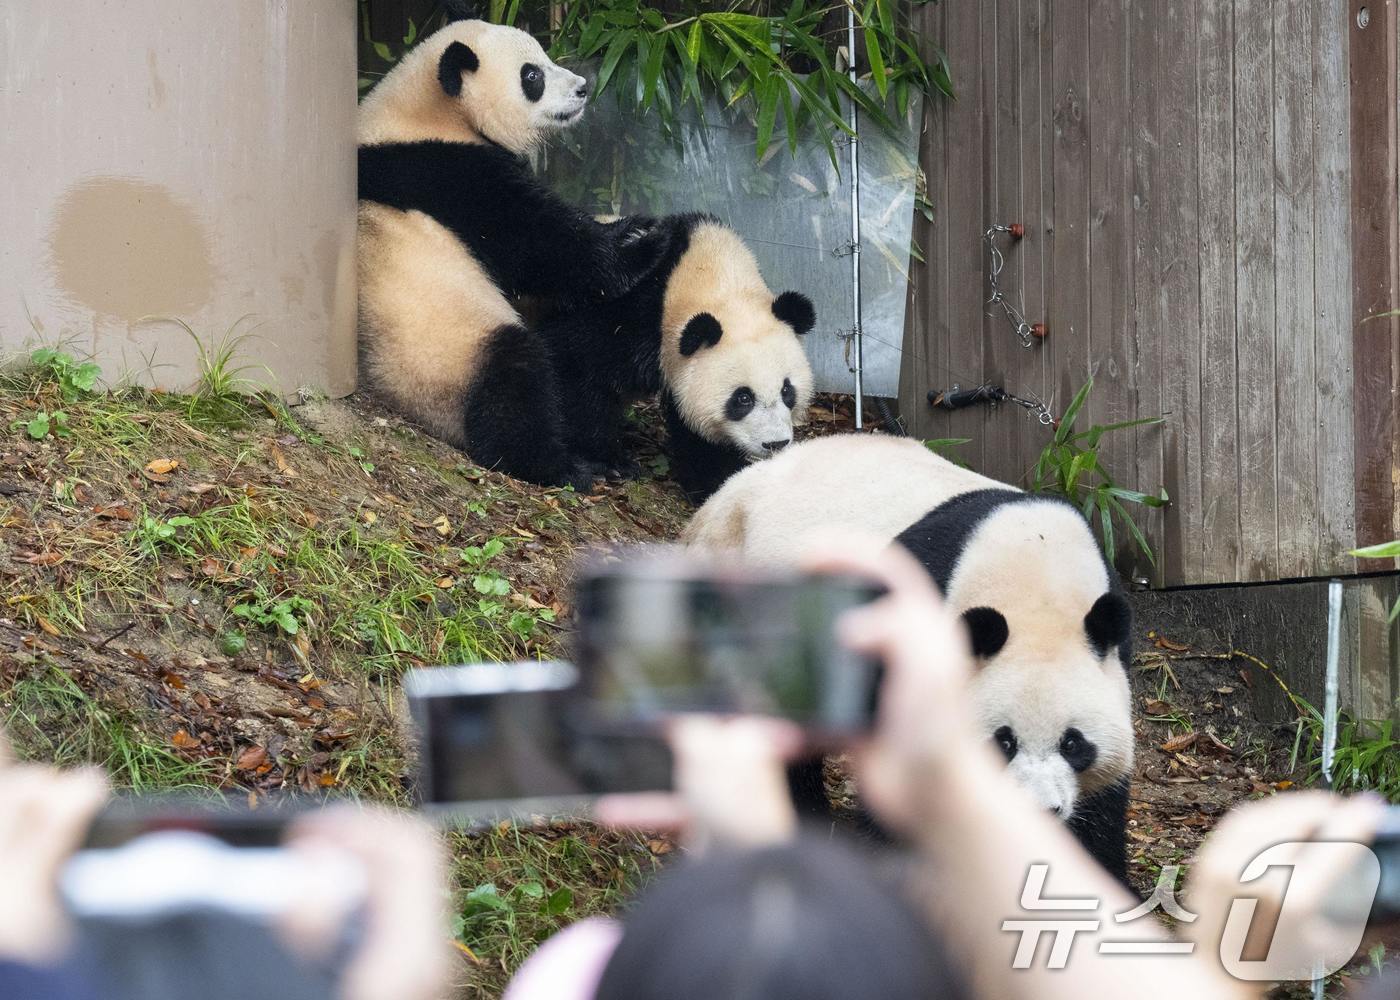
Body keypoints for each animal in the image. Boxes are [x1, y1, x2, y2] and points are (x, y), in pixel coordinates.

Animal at [358, 11, 669, 487]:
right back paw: (565, 465)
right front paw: (641, 242)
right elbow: (540, 244)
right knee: (516, 379)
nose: (582, 88)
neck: (427, 112)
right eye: (532, 75)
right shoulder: (446, 171)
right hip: (445, 353)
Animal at [537, 212, 817, 501]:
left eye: (787, 390)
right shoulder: (625, 315)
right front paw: (608, 462)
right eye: (743, 398)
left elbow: (697, 434)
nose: (776, 443)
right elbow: (577, 369)